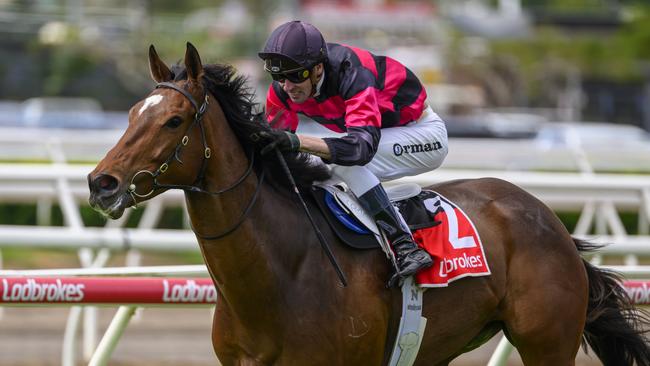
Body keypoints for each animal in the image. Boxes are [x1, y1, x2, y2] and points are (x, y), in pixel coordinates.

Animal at [87, 43, 648, 366]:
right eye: (133, 112)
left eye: (173, 121)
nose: (101, 183)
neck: (281, 272)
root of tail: (549, 218)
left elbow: (358, 144)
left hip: (545, 341)